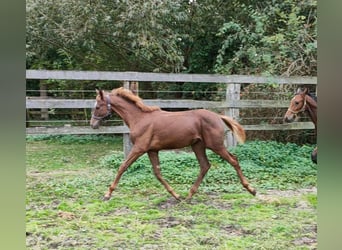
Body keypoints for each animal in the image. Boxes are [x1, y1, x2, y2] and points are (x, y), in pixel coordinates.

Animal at [89, 87, 255, 200]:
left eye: (97, 106)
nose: (92, 124)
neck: (140, 118)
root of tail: (218, 116)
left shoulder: (139, 148)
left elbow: (122, 167)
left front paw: (107, 194)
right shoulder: (152, 150)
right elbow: (157, 173)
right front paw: (176, 195)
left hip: (216, 145)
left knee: (233, 160)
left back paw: (251, 189)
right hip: (198, 145)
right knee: (205, 165)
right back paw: (189, 195)